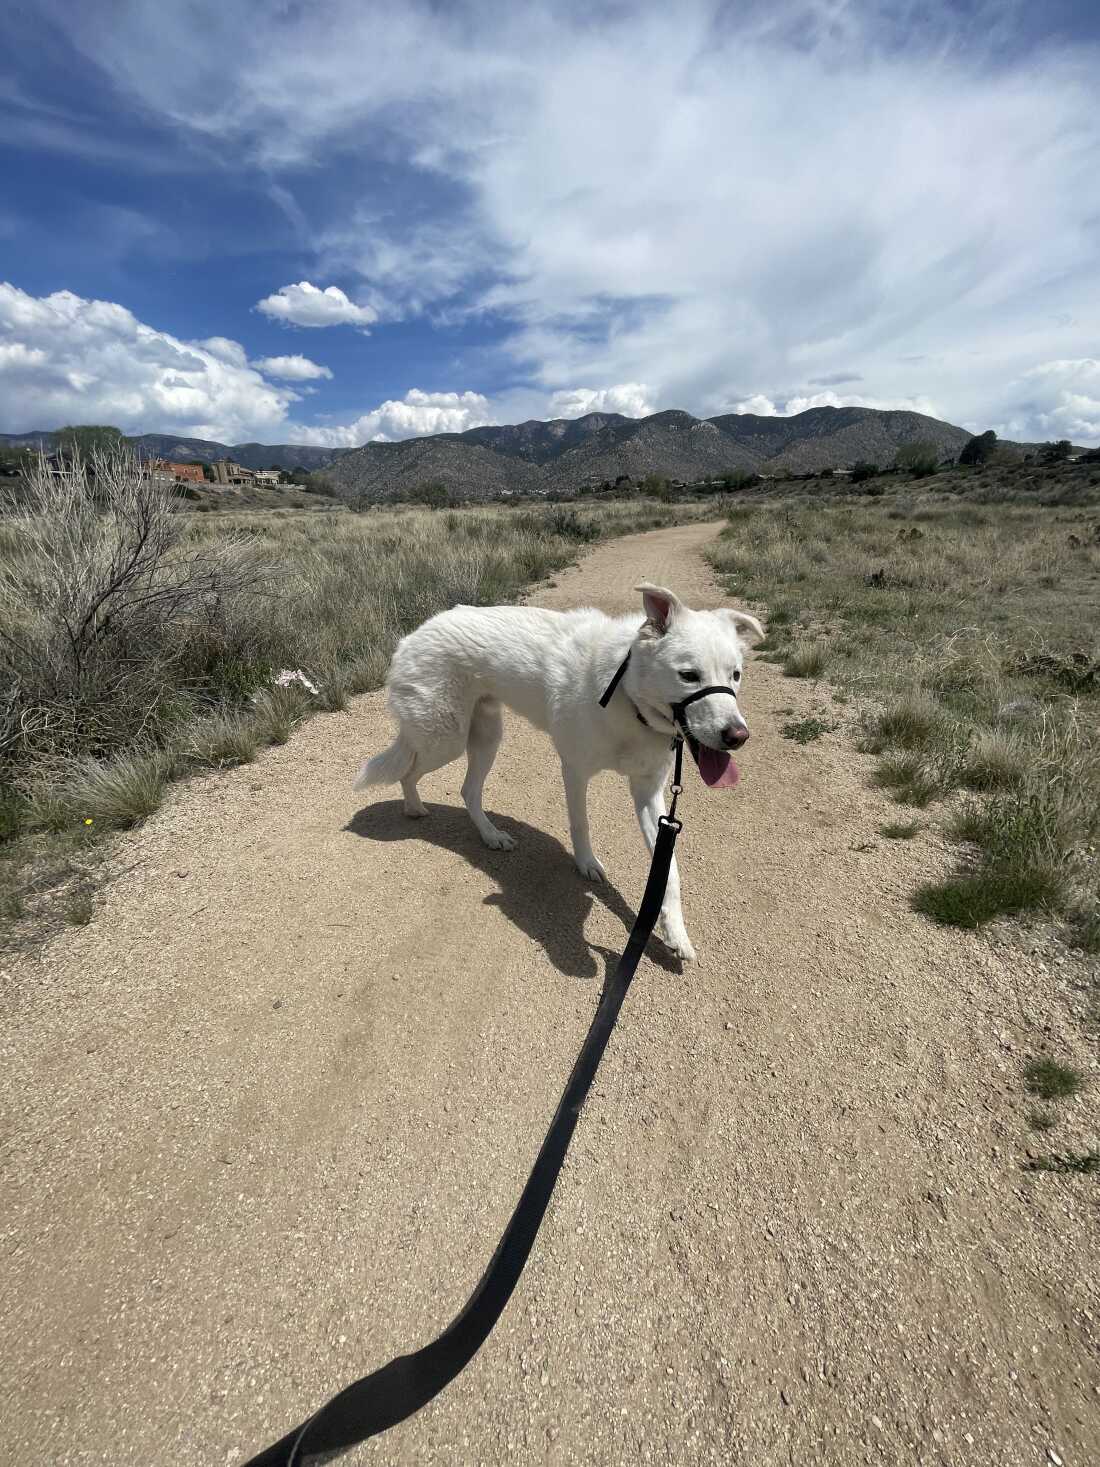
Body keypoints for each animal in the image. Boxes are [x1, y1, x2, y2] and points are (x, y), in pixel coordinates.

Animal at [357, 583, 762, 962]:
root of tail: (414, 634)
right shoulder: (575, 771)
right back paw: (414, 808)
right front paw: (587, 865)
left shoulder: (648, 793)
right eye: (688, 675)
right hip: (444, 740)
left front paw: (676, 934)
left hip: (485, 738)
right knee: (408, 771)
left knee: (467, 790)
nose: (737, 737)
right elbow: (581, 825)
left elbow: (669, 873)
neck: (628, 695)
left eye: (736, 675)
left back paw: (491, 836)